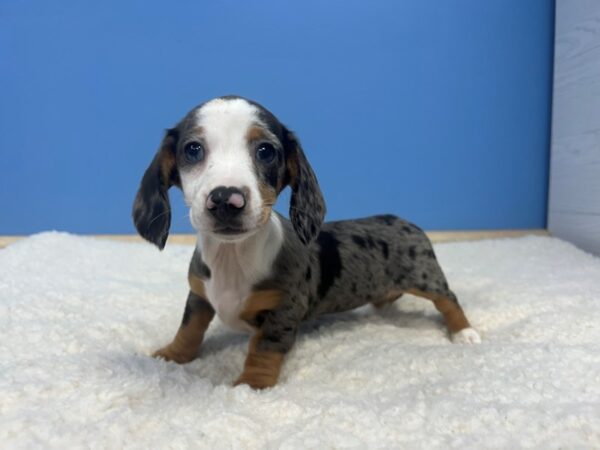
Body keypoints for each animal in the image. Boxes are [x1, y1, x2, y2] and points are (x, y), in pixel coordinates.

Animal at [134, 96, 480, 388]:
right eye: (193, 149)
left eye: (265, 151)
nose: (225, 199)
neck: (232, 257)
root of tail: (405, 221)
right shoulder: (199, 296)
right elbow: (189, 330)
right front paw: (172, 355)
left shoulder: (283, 311)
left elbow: (264, 350)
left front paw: (251, 385)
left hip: (426, 277)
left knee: (449, 298)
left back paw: (464, 332)